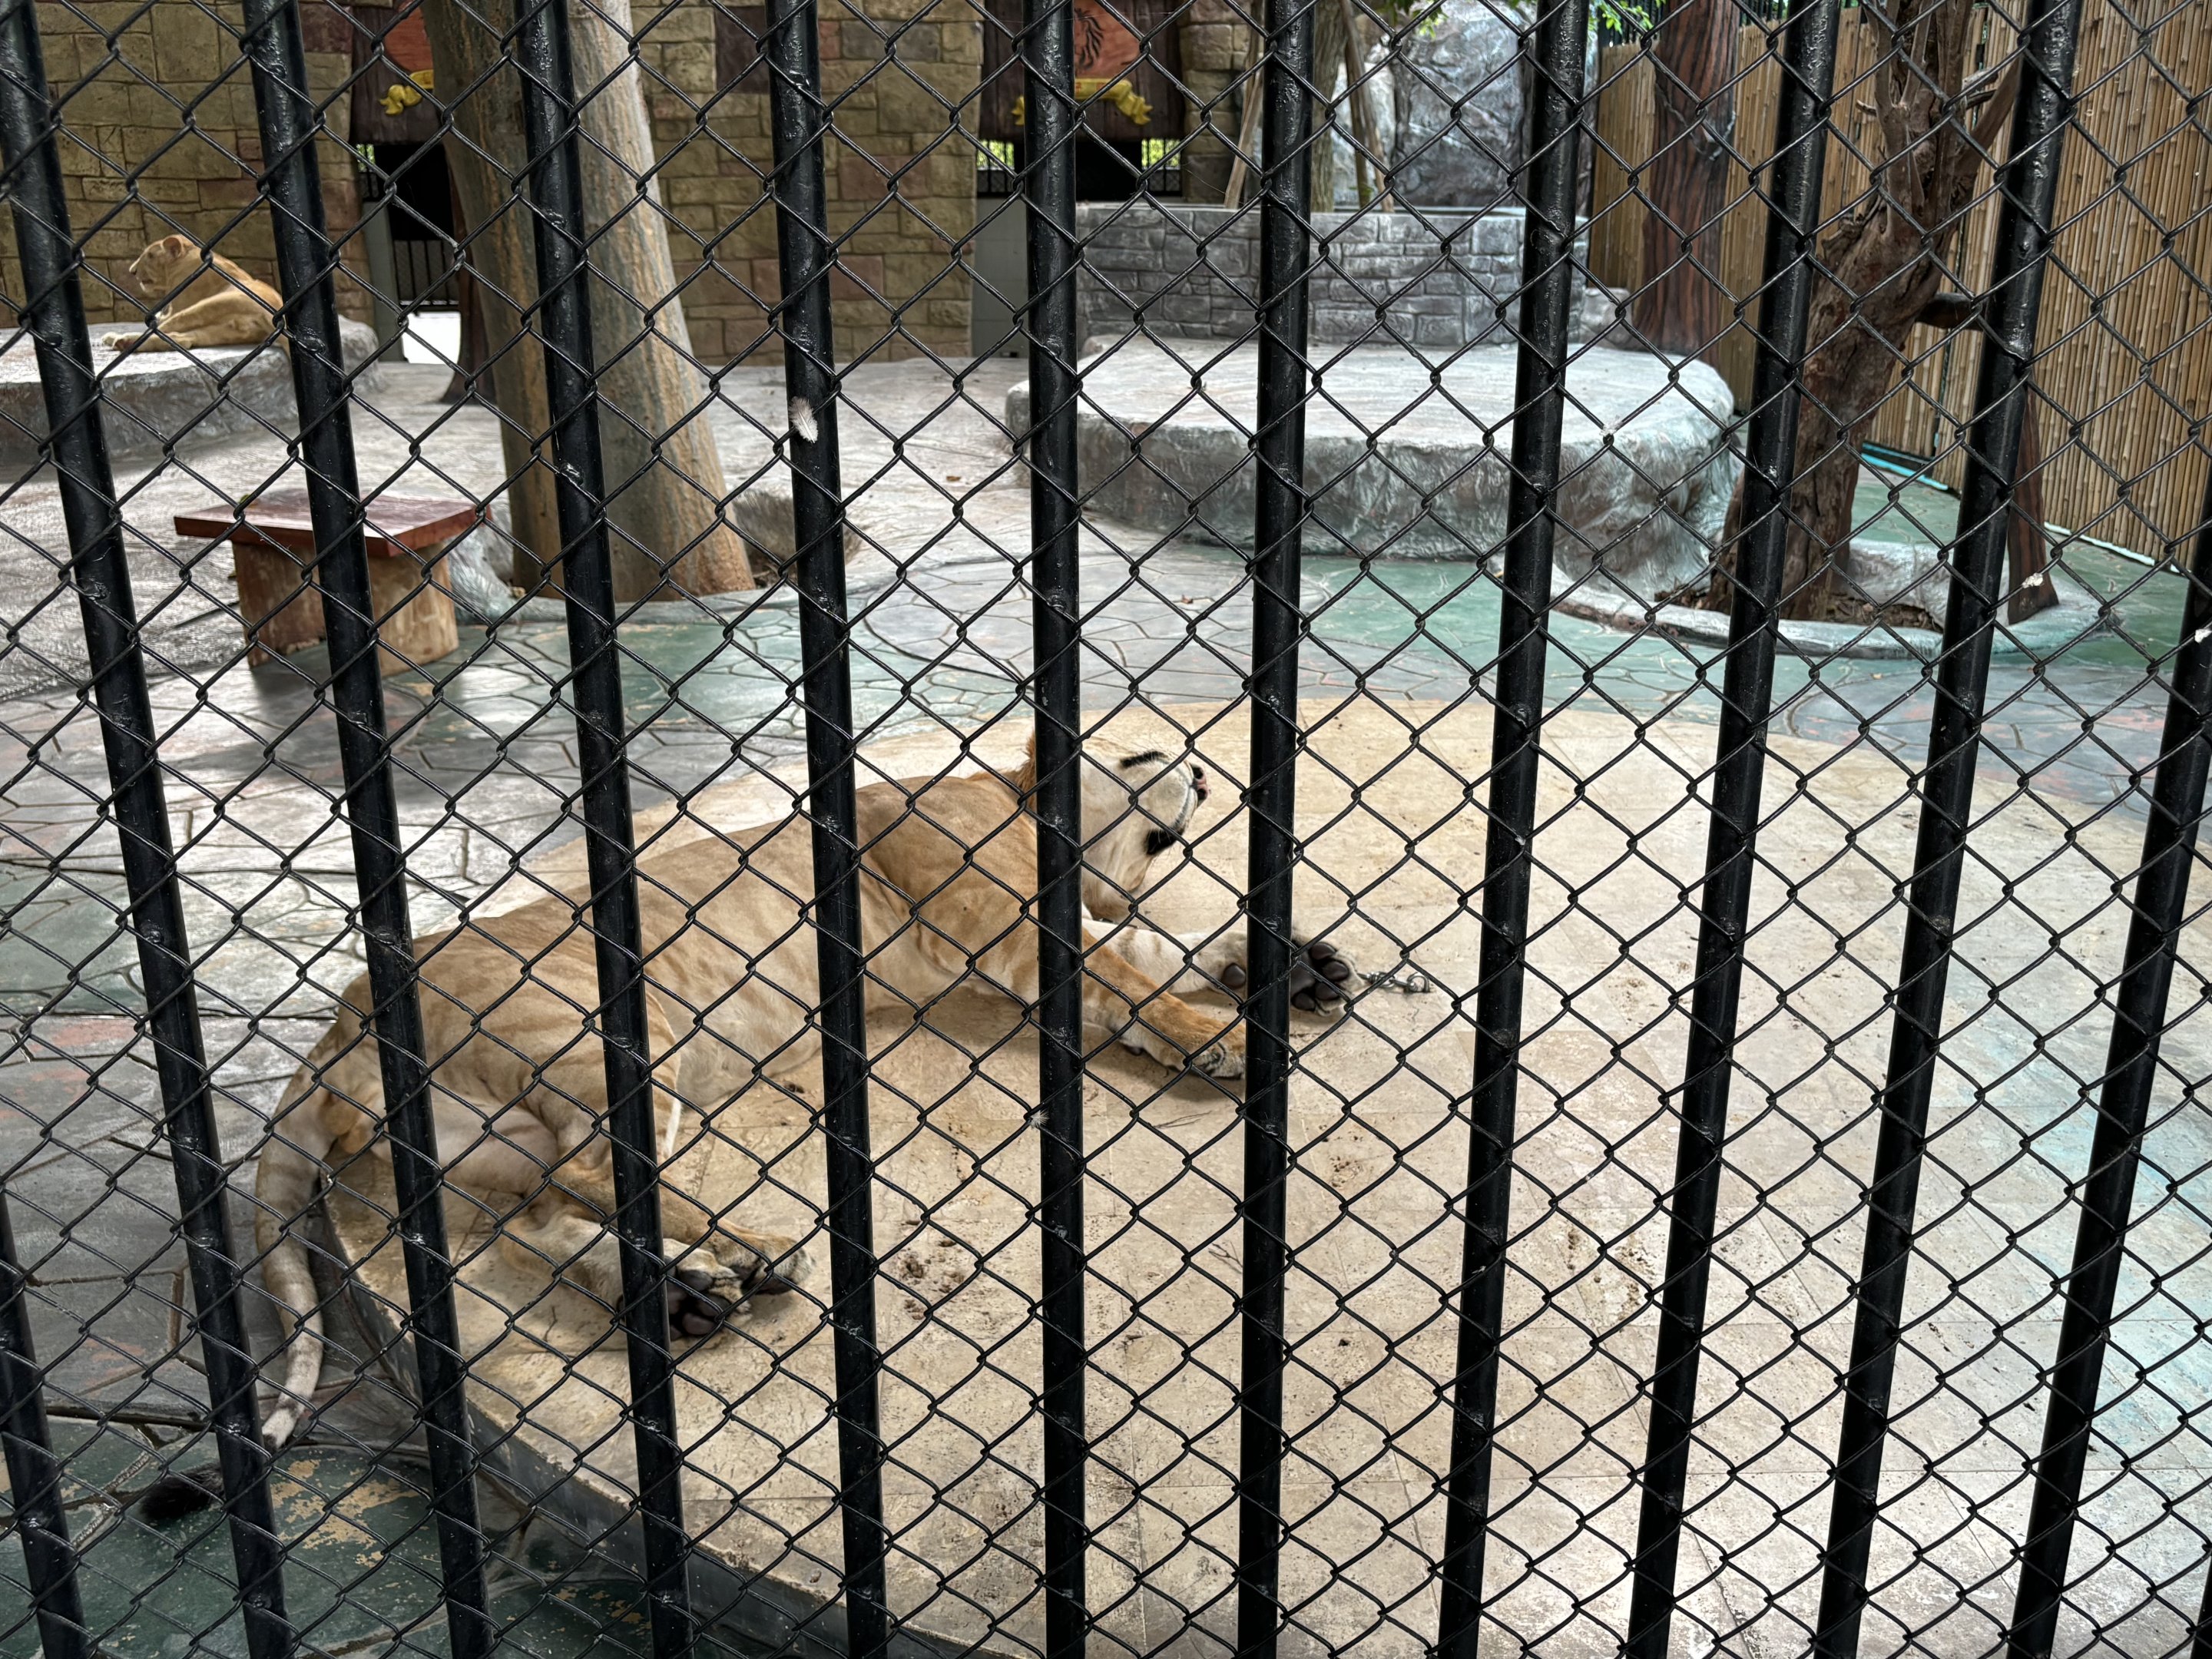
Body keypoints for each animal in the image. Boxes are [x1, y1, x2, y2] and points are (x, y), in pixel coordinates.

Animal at [100, 234, 285, 355]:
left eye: (150, 256)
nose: (132, 271)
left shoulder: (177, 305)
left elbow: (159, 320)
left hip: (204, 307)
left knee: (167, 329)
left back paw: (118, 338)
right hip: (222, 332)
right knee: (183, 339)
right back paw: (125, 343)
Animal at [255, 736, 1380, 1448]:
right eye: (1140, 755)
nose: (1207, 770)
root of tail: (345, 1016)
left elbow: (1162, 945)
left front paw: (1295, 966)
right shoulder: (1010, 925)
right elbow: (1139, 976)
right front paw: (1221, 1038)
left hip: (498, 1143)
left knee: (545, 1213)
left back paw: (689, 1292)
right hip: (605, 1038)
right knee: (594, 1176)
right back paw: (747, 1257)